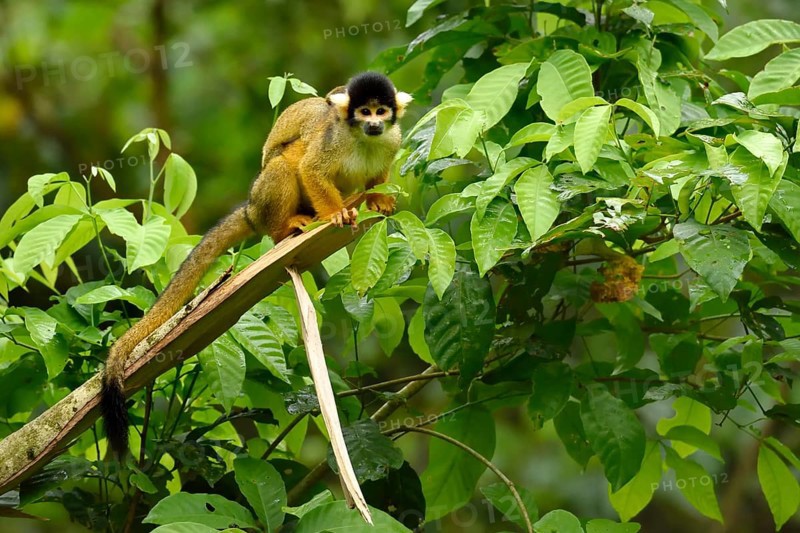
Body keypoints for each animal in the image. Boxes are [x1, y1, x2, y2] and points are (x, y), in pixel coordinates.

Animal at [101, 72, 412, 455]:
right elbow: (310, 168)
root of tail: (252, 210)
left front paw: (378, 198)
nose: (373, 124)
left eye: (381, 112)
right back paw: (287, 226)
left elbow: (377, 173)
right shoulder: (333, 137)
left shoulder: (392, 141)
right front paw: (335, 214)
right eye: (365, 111)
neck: (363, 139)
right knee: (285, 163)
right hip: (266, 198)